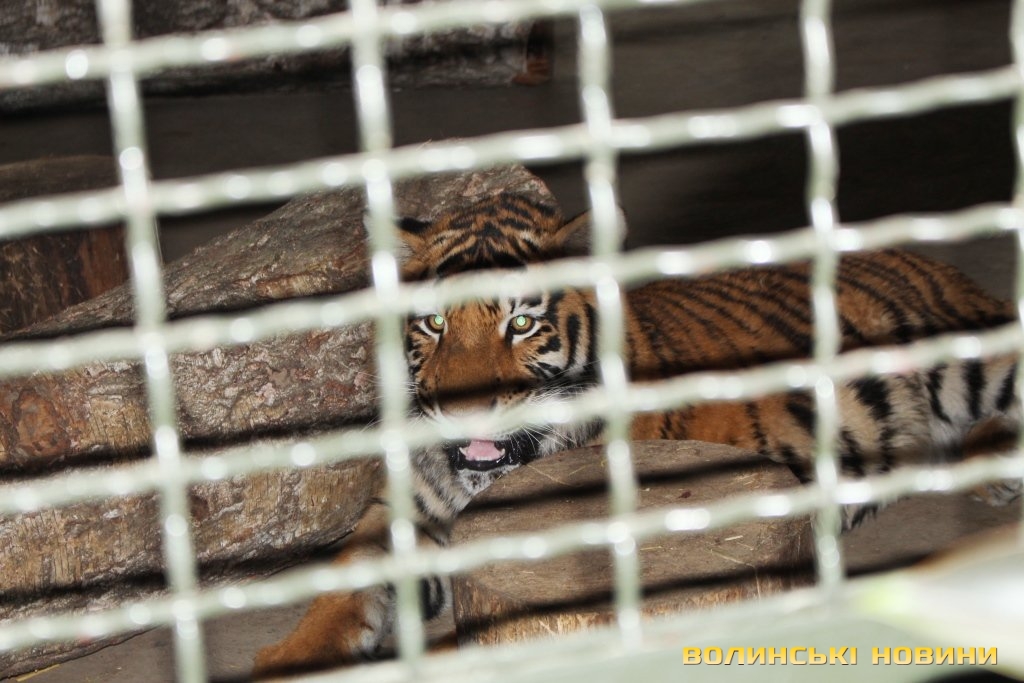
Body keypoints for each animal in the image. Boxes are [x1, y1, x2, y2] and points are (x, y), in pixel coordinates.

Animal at [253, 191, 1021, 677]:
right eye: (434, 324)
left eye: (521, 323)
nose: (464, 412)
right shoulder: (403, 517)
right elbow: (341, 591)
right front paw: (290, 659)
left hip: (976, 362)